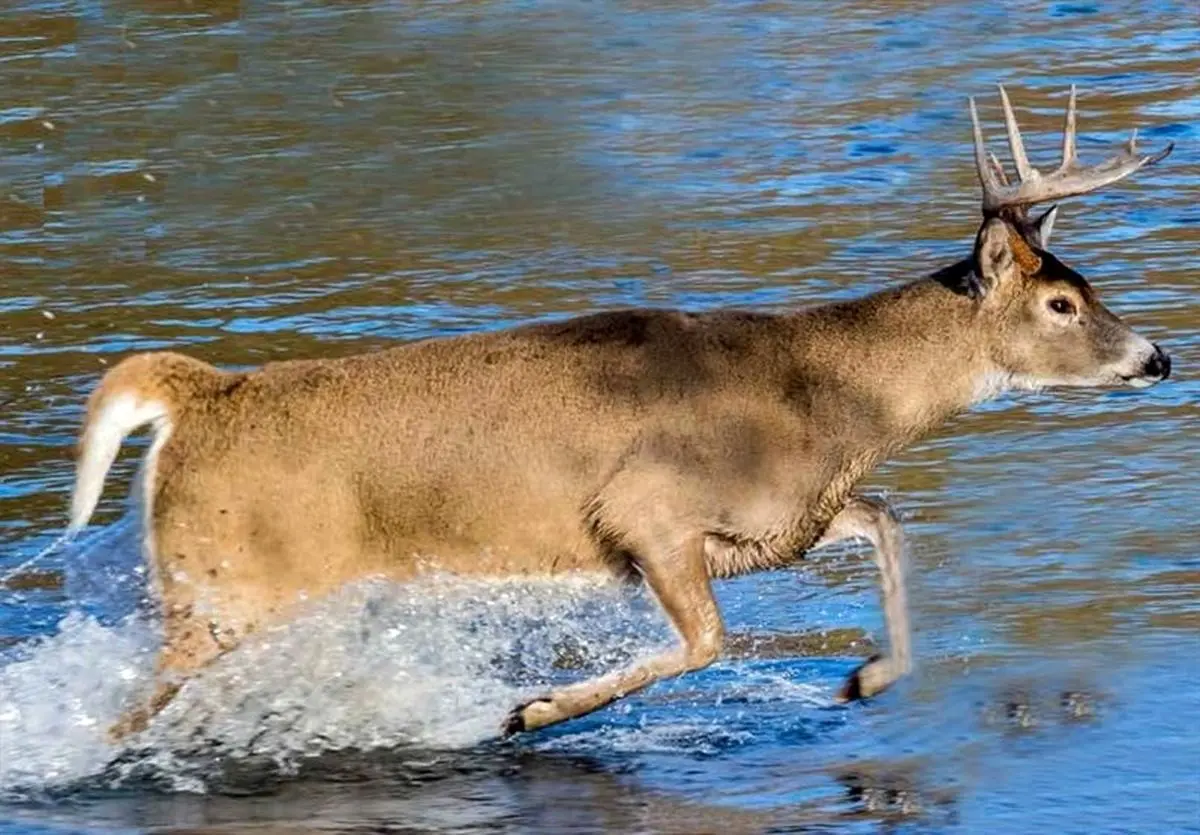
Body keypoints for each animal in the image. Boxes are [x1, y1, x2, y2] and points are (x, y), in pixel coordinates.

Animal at [68, 86, 1171, 739]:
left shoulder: (779, 523)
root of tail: (199, 393)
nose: (1158, 356)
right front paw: (533, 707)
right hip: (224, 584)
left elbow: (887, 521)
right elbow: (708, 643)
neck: (826, 402)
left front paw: (866, 677)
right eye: (1063, 303)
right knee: (121, 713)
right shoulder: (646, 511)